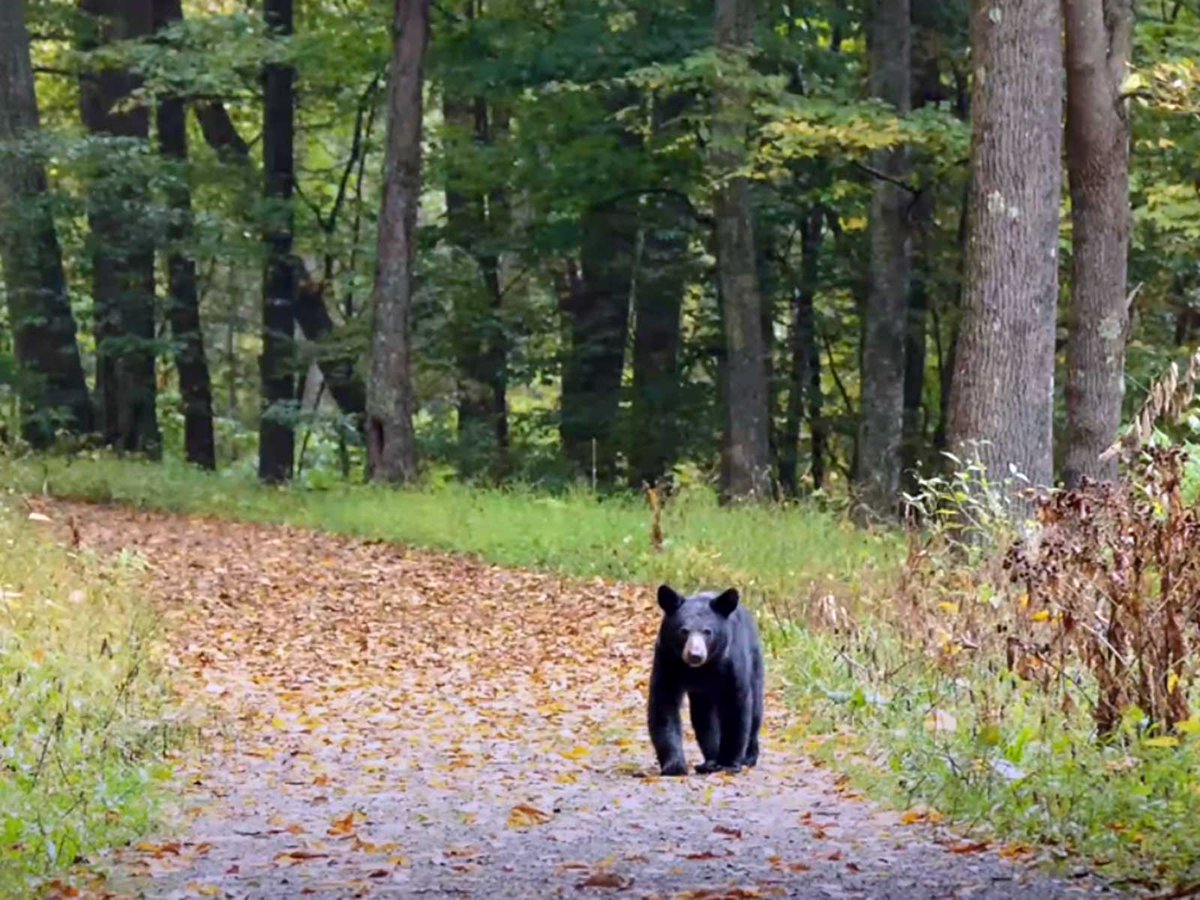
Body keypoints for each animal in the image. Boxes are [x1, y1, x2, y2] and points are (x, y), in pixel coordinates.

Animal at [647, 584, 764, 776]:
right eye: (684, 631)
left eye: (707, 632)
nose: (695, 655)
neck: (703, 668)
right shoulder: (667, 661)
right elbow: (663, 705)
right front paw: (674, 765)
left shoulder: (731, 663)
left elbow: (736, 708)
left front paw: (730, 763)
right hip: (702, 694)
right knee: (704, 718)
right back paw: (709, 762)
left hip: (755, 664)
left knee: (755, 712)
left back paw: (748, 757)